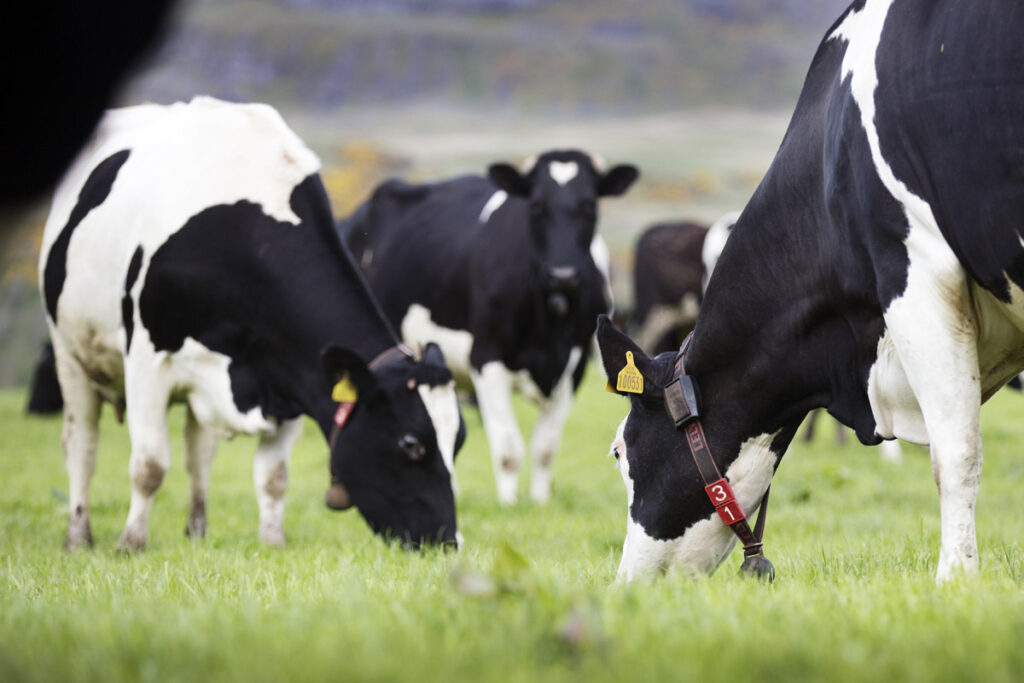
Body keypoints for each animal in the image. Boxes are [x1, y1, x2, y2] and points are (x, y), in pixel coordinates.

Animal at [39, 96, 465, 552]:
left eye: (459, 441)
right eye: (411, 444)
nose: (448, 541)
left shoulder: (292, 372)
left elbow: (274, 476)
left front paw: (273, 542)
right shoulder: (147, 361)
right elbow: (150, 464)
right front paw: (130, 543)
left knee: (199, 453)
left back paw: (197, 531)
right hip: (69, 353)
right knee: (81, 445)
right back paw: (78, 536)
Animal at [341, 150, 638, 504]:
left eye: (590, 206)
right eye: (536, 206)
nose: (562, 274)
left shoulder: (575, 368)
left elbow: (545, 448)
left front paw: (539, 503)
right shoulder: (486, 359)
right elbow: (508, 448)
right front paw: (508, 504)